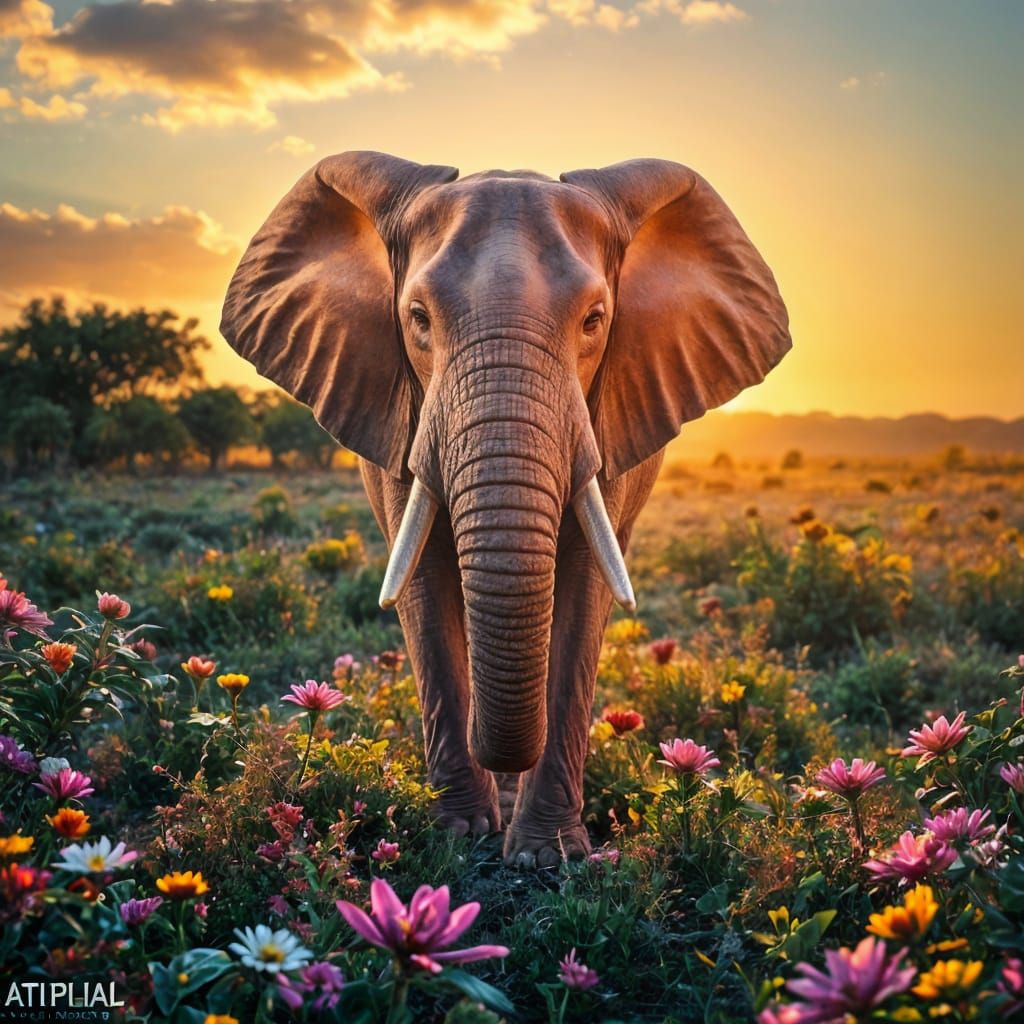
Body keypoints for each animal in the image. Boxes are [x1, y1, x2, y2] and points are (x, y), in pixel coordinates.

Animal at [221, 151, 791, 868]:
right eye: (418, 318)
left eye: (594, 320)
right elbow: (424, 589)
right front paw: (458, 835)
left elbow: (584, 594)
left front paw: (546, 855)